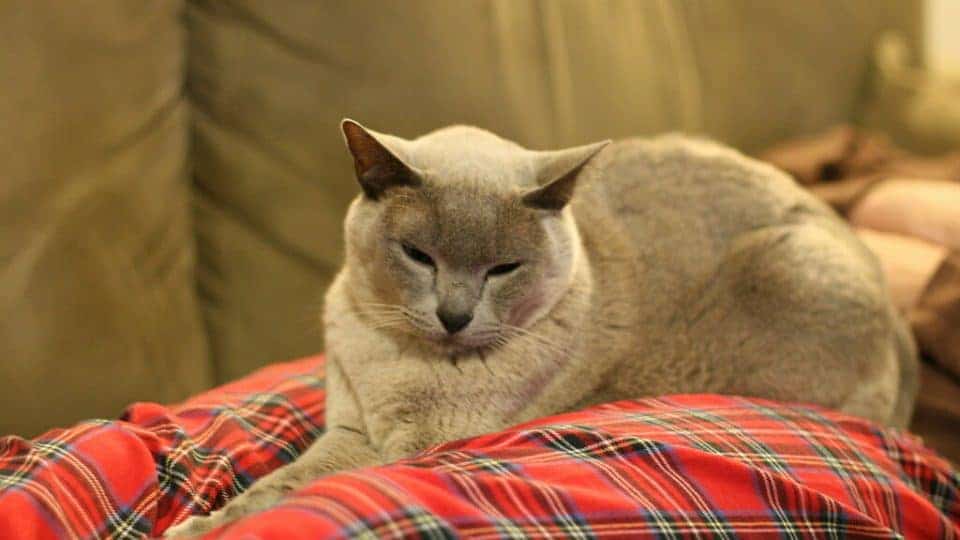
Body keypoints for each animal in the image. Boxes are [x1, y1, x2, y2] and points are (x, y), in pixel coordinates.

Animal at [169, 119, 920, 536]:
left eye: (503, 268)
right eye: (418, 255)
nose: (454, 315)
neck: (394, 359)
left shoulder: (405, 445)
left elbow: (299, 491)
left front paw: (204, 527)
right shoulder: (350, 425)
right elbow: (285, 480)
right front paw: (207, 519)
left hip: (791, 269)